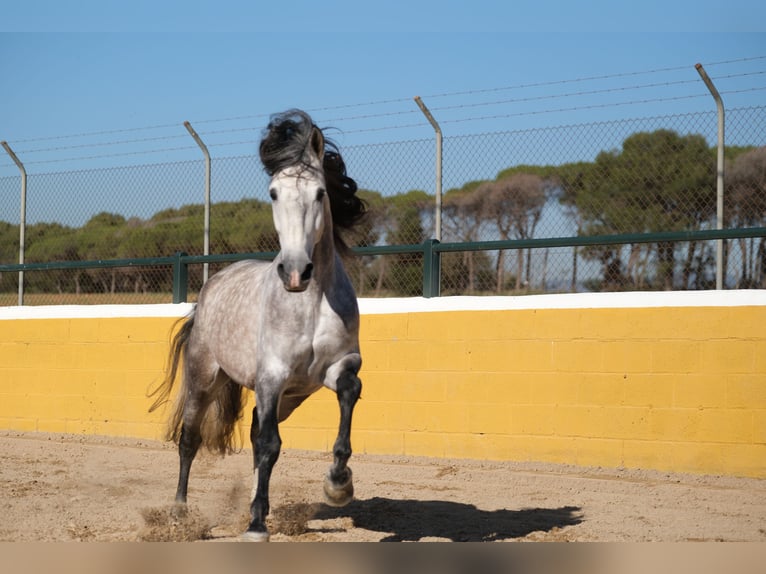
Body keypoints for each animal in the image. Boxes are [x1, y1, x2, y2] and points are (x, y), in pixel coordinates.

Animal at [152, 109, 368, 544]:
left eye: (321, 193)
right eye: (273, 193)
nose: (296, 271)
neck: (311, 303)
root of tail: (211, 288)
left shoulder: (334, 368)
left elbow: (349, 392)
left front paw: (338, 485)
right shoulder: (272, 376)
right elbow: (270, 445)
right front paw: (255, 528)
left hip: (290, 398)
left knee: (253, 431)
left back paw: (259, 506)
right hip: (204, 378)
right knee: (191, 439)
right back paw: (181, 513)